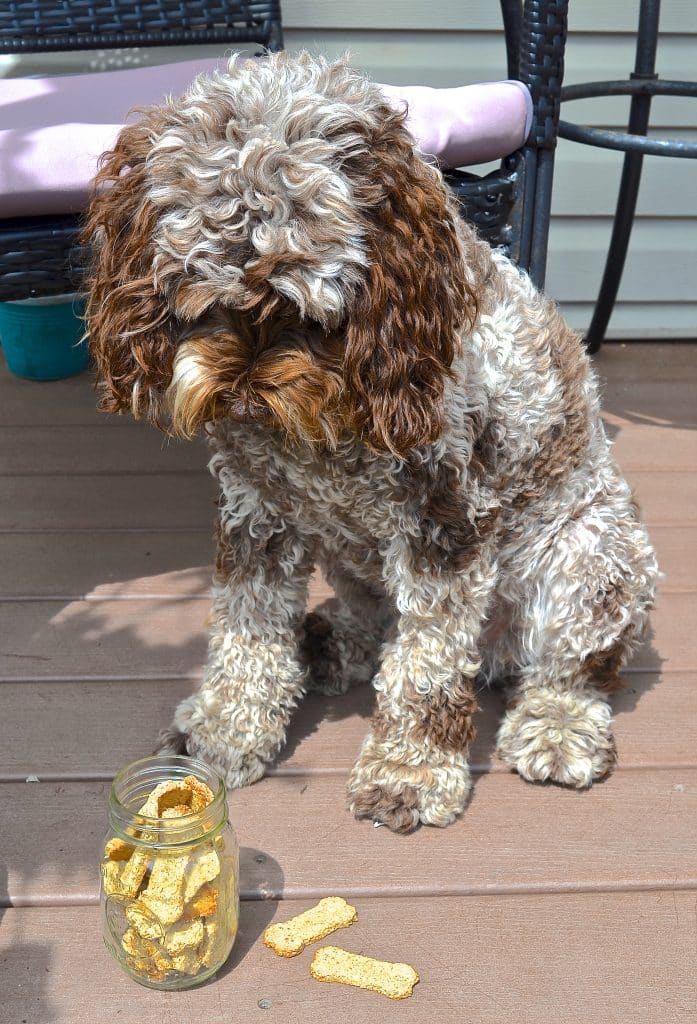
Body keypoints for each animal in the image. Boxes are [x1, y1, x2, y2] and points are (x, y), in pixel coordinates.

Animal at [85, 51, 659, 831]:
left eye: (307, 309)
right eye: (200, 290)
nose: (239, 392)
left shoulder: (445, 526)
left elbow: (427, 666)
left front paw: (409, 772)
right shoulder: (255, 513)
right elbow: (244, 632)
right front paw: (219, 734)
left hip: (593, 558)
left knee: (573, 667)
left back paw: (557, 725)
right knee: (373, 616)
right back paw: (333, 642)